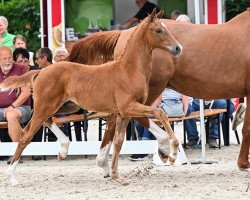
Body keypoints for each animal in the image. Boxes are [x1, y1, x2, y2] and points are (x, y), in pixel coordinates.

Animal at [0, 10, 182, 186]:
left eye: (166, 28)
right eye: (158, 30)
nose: (178, 48)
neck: (129, 70)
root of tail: (40, 71)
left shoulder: (124, 113)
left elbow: (118, 142)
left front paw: (116, 176)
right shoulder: (128, 107)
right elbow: (160, 113)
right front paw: (173, 154)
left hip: (65, 106)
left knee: (44, 122)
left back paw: (63, 150)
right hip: (46, 106)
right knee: (26, 135)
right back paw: (12, 177)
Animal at [65, 7, 249, 172]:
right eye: (159, 30)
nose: (178, 48)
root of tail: (123, 34)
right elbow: (247, 128)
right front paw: (243, 164)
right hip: (149, 89)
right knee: (128, 116)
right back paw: (165, 147)